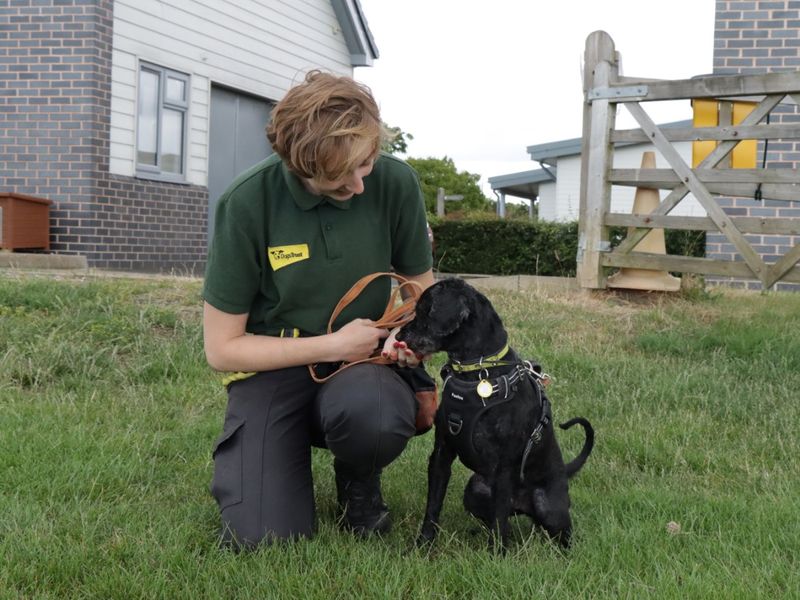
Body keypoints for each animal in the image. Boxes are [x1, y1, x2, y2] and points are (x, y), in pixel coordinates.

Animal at [398, 278, 592, 552]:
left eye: (425, 310)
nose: (399, 335)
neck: (478, 373)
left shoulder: (504, 466)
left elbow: (500, 518)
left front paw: (498, 554)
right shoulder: (441, 454)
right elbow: (433, 506)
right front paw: (423, 545)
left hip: (547, 505)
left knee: (555, 531)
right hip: (475, 490)